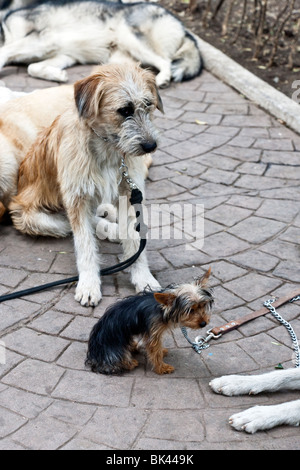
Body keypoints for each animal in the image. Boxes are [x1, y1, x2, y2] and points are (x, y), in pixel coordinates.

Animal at [9, 65, 163, 308]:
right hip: (33, 218)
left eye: (148, 105)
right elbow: (85, 245)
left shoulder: (129, 194)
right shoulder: (77, 198)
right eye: (124, 110)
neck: (108, 150)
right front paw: (89, 285)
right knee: (75, 225)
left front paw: (143, 278)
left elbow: (134, 239)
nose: (151, 146)